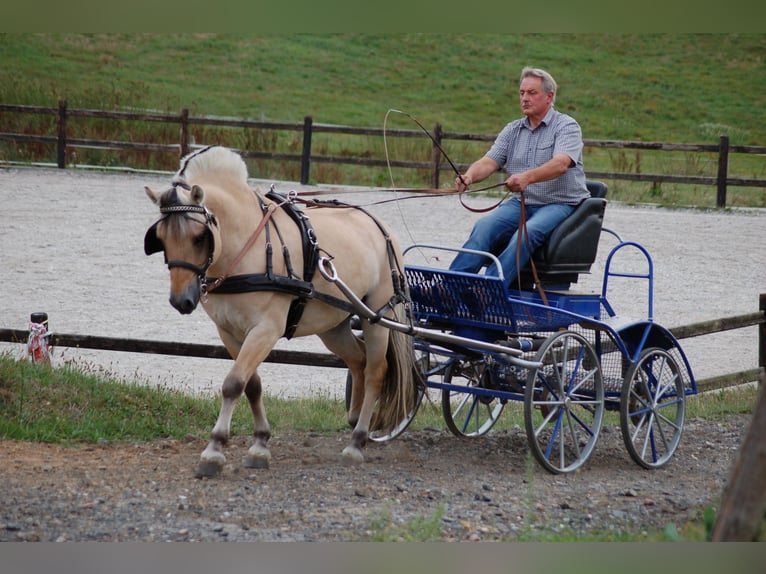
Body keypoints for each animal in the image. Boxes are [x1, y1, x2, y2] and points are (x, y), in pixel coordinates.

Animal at [144, 146, 419, 477]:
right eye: (160, 238)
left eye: (199, 237)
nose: (180, 300)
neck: (244, 249)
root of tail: (380, 226)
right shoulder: (230, 333)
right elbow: (251, 384)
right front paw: (260, 444)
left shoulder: (265, 330)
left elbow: (233, 384)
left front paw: (214, 450)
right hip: (333, 324)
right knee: (359, 361)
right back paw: (354, 421)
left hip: (375, 317)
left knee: (376, 371)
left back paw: (357, 442)